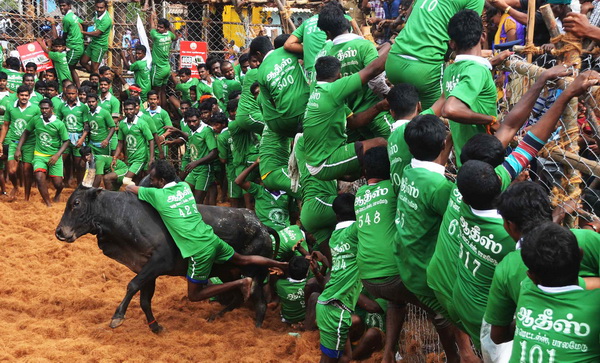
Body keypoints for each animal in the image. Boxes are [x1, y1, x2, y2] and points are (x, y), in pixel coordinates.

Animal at [54, 186, 278, 334]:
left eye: (76, 203)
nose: (60, 232)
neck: (123, 215)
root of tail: (261, 226)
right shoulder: (146, 269)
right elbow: (144, 300)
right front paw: (155, 327)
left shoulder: (159, 262)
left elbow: (132, 285)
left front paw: (117, 317)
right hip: (228, 272)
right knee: (239, 296)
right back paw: (216, 317)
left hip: (253, 273)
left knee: (259, 303)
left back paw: (256, 330)